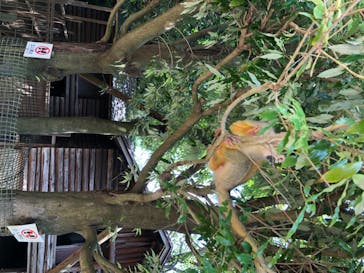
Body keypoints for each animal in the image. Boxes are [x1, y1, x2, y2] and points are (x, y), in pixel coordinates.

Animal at [208, 120, 284, 272]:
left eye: (275, 159)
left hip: (230, 176)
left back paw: (218, 155)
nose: (274, 160)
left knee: (243, 161)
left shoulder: (258, 155)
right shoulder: (265, 136)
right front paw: (248, 131)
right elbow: (238, 126)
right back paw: (220, 143)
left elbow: (248, 158)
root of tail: (223, 187)